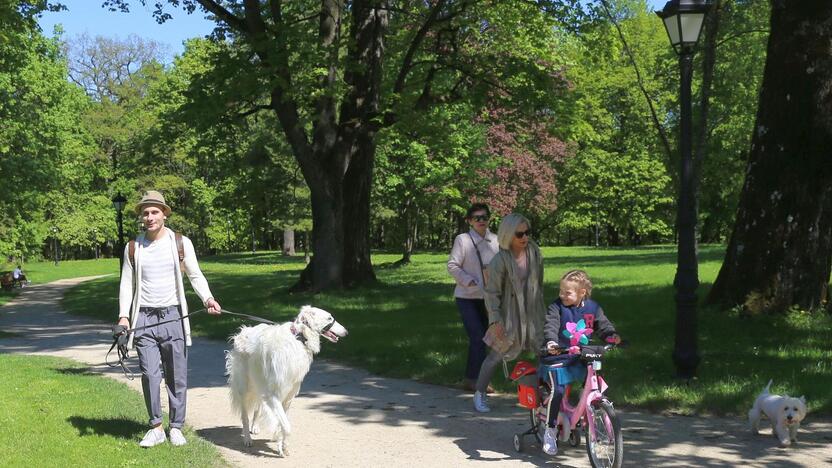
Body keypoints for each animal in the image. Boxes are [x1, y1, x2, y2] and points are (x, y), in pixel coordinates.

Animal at [224, 306, 348, 456]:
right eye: (329, 318)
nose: (346, 332)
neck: (299, 338)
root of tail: (243, 331)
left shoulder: (288, 396)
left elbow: (283, 423)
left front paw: (281, 443)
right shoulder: (274, 395)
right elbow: (287, 427)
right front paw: (282, 447)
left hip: (260, 383)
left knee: (257, 407)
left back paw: (255, 427)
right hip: (245, 386)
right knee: (244, 416)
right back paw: (247, 439)